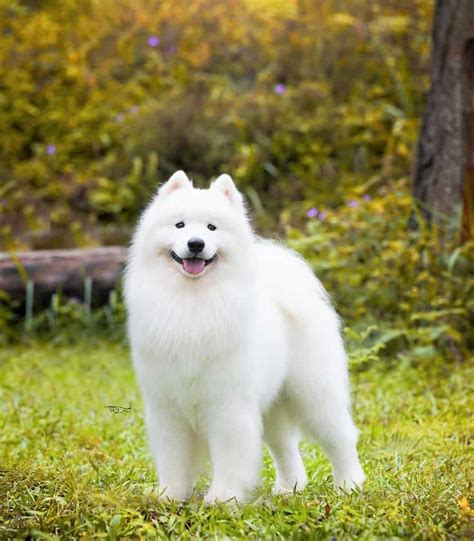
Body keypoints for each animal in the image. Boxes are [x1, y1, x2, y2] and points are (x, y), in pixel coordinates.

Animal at [124, 170, 364, 502]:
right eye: (180, 225)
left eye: (212, 227)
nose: (196, 243)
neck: (192, 300)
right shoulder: (167, 407)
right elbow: (173, 459)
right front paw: (170, 495)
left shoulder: (228, 406)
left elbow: (229, 458)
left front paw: (223, 498)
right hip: (274, 407)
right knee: (285, 447)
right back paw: (289, 488)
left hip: (314, 395)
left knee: (341, 439)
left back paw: (350, 484)